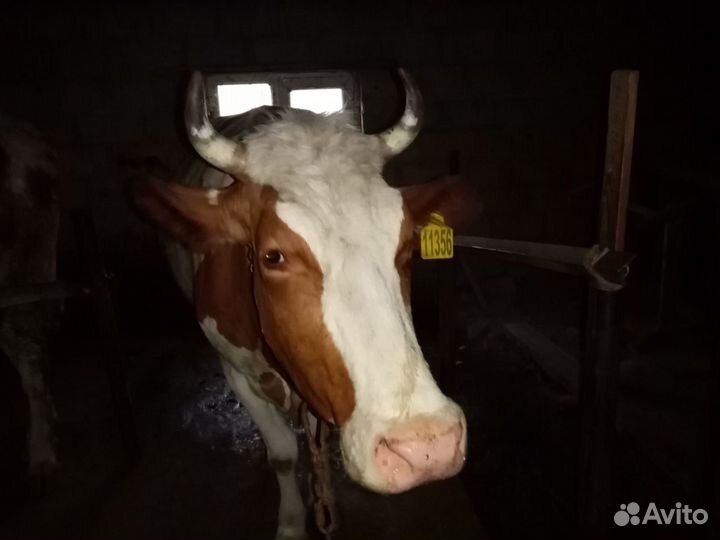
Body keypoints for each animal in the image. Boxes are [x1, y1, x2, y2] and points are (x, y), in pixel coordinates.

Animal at [131, 69, 479, 540]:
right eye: (272, 256)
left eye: (407, 244)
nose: (426, 447)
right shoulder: (235, 369)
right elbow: (282, 453)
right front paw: (293, 524)